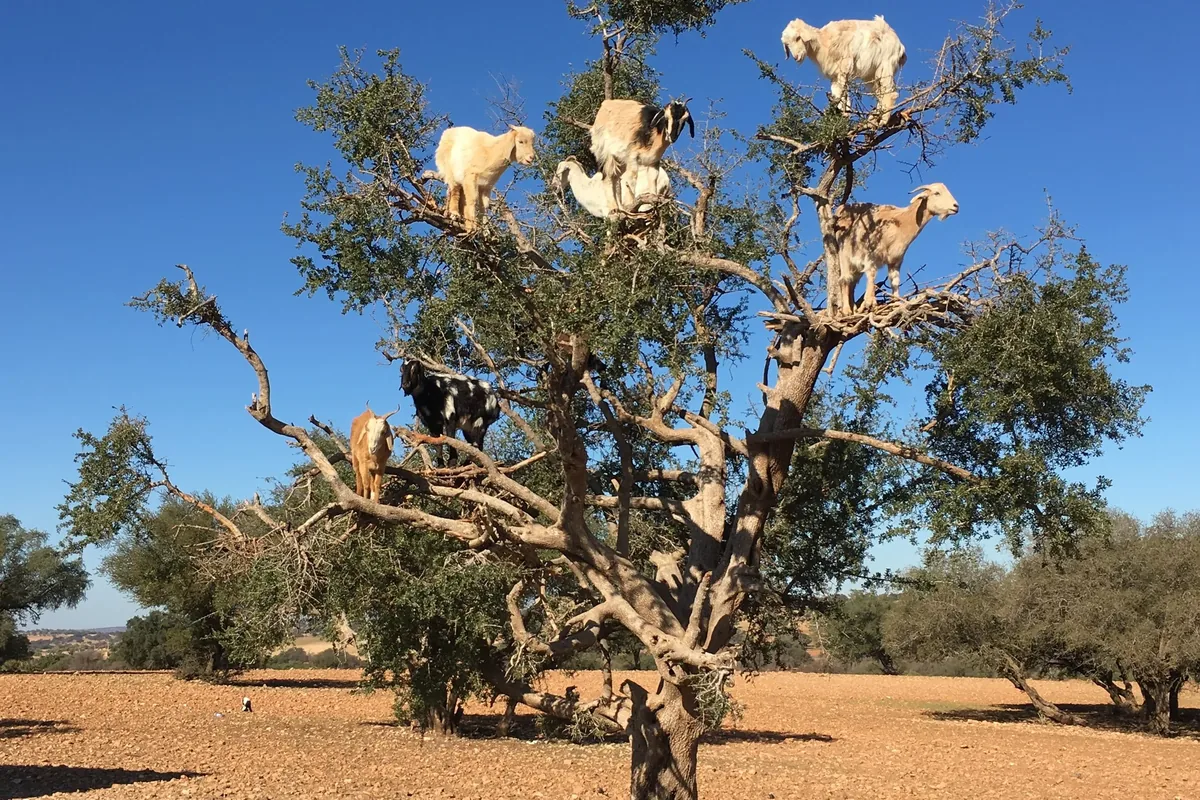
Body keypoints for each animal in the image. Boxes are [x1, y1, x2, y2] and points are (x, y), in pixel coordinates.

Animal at [831, 182, 960, 312]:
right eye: (936, 193)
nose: (956, 206)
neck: (900, 223)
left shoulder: (896, 259)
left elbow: (895, 280)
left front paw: (896, 302)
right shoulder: (871, 255)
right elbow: (872, 274)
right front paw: (870, 302)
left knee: (852, 283)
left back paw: (854, 309)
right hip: (844, 253)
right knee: (845, 279)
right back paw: (846, 310)